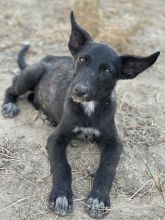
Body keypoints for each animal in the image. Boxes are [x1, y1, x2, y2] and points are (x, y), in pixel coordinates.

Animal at [1, 12, 159, 218]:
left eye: (107, 70)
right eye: (82, 59)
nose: (79, 90)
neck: (89, 108)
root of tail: (47, 57)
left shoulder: (114, 142)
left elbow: (107, 168)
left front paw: (98, 199)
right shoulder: (56, 139)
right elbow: (62, 166)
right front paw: (61, 196)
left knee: (31, 97)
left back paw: (45, 115)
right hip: (33, 73)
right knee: (12, 87)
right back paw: (10, 105)